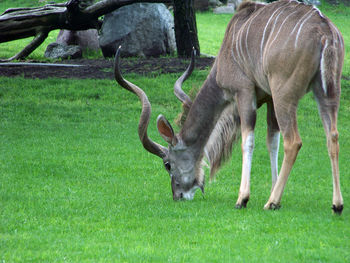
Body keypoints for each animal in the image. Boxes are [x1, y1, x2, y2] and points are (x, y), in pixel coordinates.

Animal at [115, 0, 344, 214]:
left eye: (168, 164)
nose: (177, 195)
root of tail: (325, 33)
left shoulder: (244, 92)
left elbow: (248, 141)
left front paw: (244, 198)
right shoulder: (269, 98)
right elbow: (272, 141)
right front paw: (275, 192)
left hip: (285, 95)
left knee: (293, 141)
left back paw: (270, 202)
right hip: (326, 93)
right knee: (332, 136)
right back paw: (337, 204)